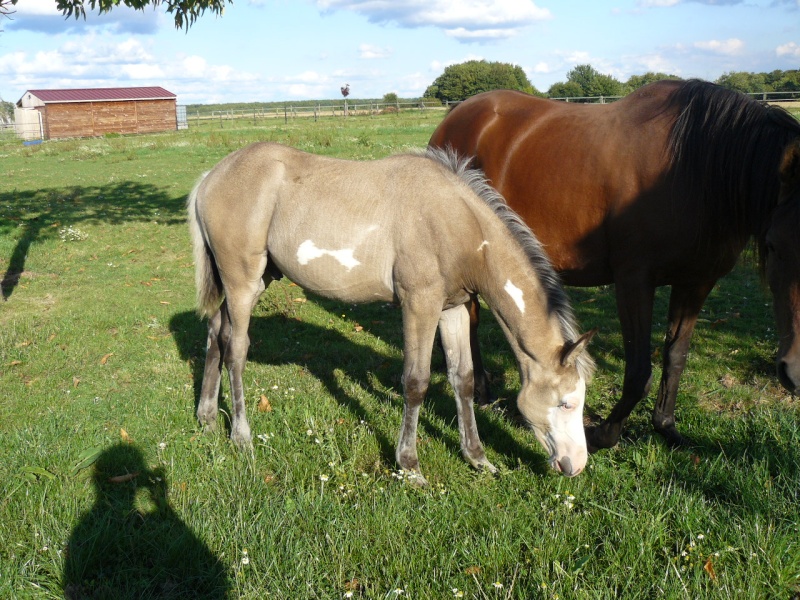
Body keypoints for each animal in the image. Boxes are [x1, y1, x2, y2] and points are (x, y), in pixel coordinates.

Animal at [186, 143, 592, 480]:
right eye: (566, 403)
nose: (576, 465)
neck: (456, 221)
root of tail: (209, 177)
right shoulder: (419, 304)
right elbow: (416, 382)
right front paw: (409, 466)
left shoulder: (454, 307)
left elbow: (463, 379)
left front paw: (478, 458)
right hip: (241, 281)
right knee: (237, 349)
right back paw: (241, 436)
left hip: (258, 280)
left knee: (217, 331)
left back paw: (207, 418)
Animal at [432, 78, 800, 450]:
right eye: (773, 244)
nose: (794, 372)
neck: (692, 171)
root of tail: (456, 116)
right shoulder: (634, 282)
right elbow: (639, 372)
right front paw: (603, 434)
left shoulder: (696, 282)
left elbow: (675, 358)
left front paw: (665, 426)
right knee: (471, 321)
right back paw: (480, 388)